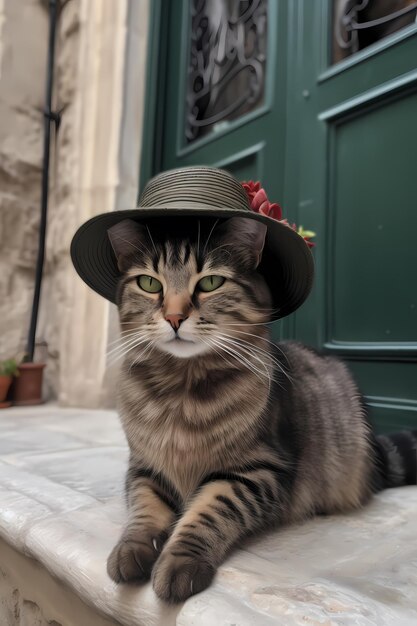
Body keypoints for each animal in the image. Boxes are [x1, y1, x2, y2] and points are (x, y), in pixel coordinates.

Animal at [105, 213, 416, 600]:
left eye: (210, 282)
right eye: (149, 283)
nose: (174, 318)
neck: (181, 391)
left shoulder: (256, 471)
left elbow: (206, 514)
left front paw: (179, 562)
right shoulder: (145, 468)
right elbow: (144, 513)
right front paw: (130, 550)